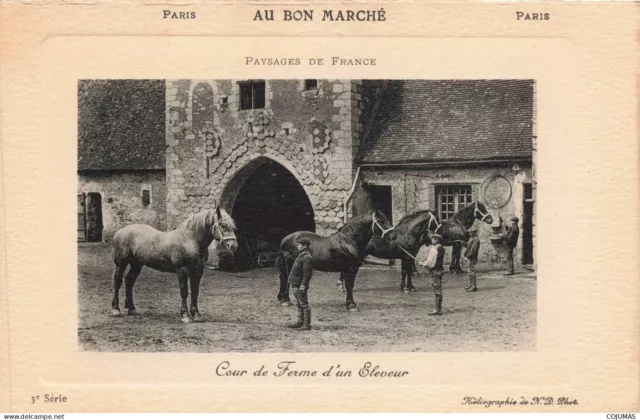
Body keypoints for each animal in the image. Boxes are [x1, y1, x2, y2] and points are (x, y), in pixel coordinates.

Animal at [111, 208, 239, 324]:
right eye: (222, 225)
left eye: (232, 227)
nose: (233, 246)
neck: (190, 239)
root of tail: (120, 231)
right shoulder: (182, 270)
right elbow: (184, 291)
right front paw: (185, 316)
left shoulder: (197, 271)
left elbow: (195, 292)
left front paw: (196, 315)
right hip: (121, 264)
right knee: (118, 282)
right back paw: (116, 310)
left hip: (137, 264)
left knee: (129, 281)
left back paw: (131, 309)